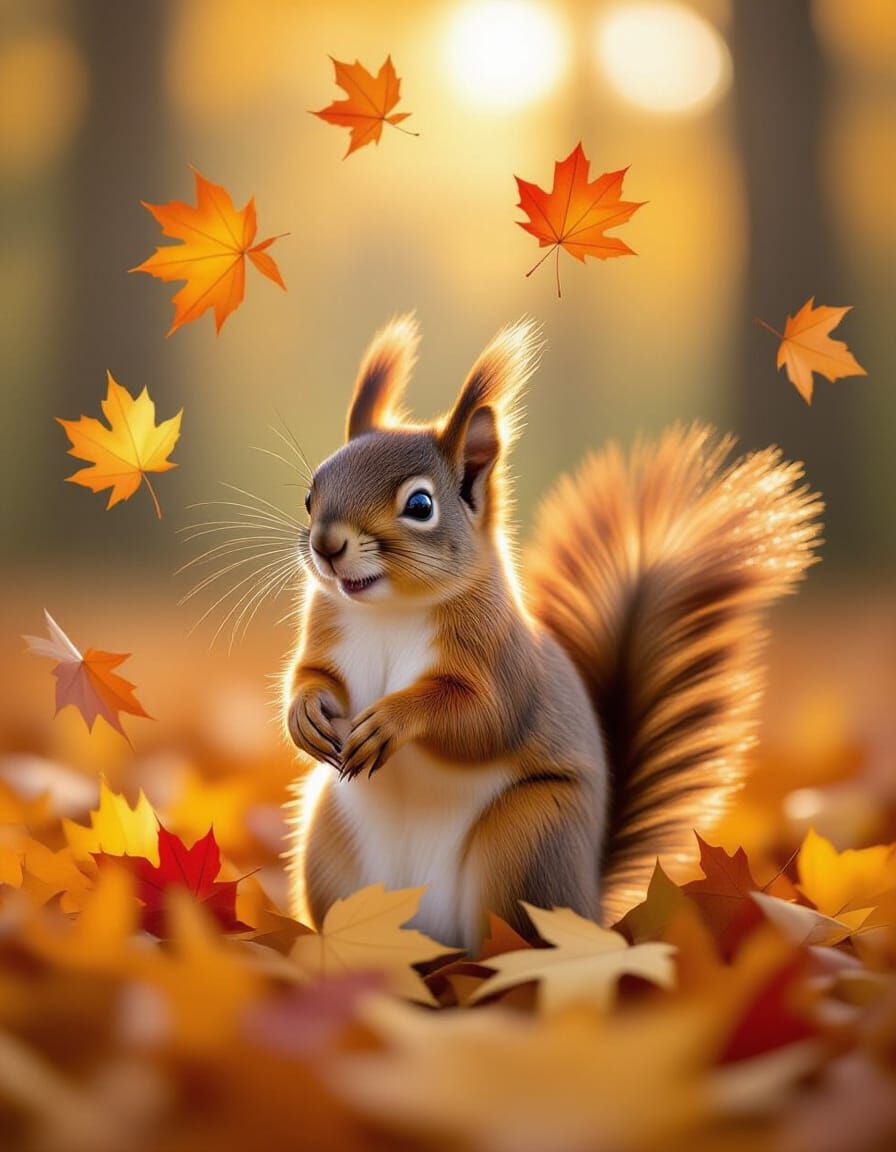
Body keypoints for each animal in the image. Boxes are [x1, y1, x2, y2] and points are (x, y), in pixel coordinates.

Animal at [284, 315, 823, 951]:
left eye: (419, 504)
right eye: (311, 493)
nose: (326, 544)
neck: (390, 611)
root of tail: (588, 898)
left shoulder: (503, 663)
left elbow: (480, 718)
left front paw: (392, 719)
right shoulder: (327, 630)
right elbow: (311, 674)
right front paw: (304, 714)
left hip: (527, 839)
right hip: (328, 843)